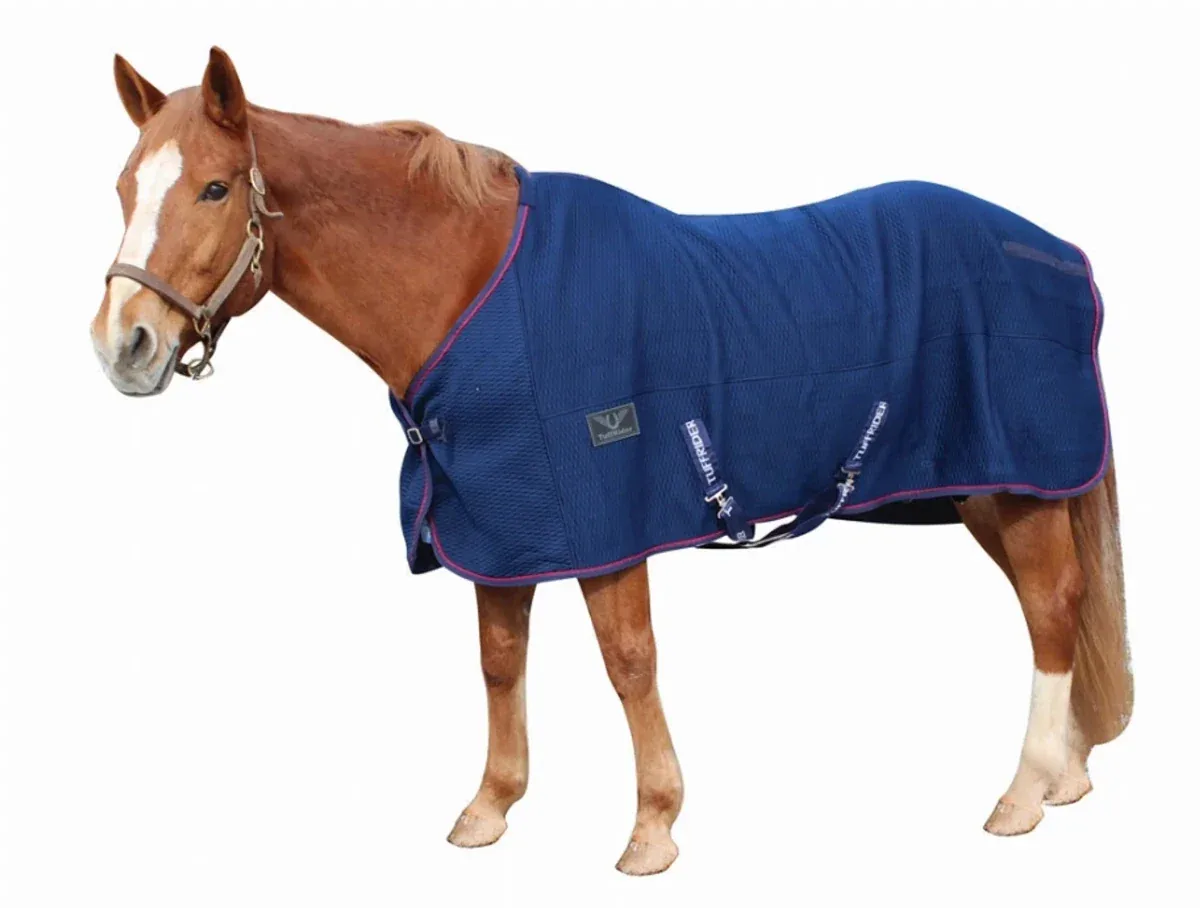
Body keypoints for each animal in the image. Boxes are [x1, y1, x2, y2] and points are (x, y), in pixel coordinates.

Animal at [90, 47, 1133, 876]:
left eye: (216, 189)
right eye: (124, 189)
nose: (122, 346)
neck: (476, 288)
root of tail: (1057, 250)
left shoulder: (607, 525)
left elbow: (630, 662)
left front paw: (653, 829)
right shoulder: (501, 523)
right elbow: (499, 662)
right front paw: (490, 809)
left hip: (1020, 484)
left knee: (1051, 610)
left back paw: (1023, 795)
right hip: (990, 493)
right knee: (1052, 606)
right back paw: (1067, 776)